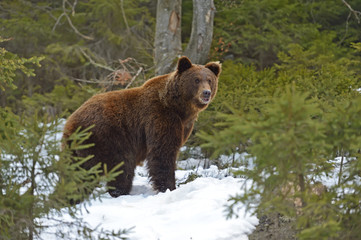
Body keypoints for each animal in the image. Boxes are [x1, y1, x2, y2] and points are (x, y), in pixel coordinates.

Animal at [62, 56, 219, 197]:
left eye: (209, 80)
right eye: (196, 79)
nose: (206, 93)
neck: (180, 108)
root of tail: (70, 122)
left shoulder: (184, 125)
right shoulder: (160, 117)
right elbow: (162, 152)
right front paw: (169, 187)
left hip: (77, 148)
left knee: (76, 173)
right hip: (107, 137)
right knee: (120, 165)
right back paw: (119, 191)